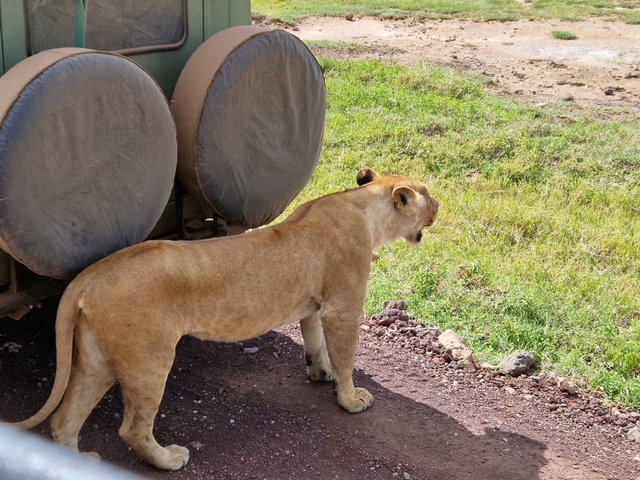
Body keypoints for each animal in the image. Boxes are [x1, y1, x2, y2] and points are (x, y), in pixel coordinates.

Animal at [7, 168, 438, 470]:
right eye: (428, 194)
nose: (440, 207)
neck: (361, 207)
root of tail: (88, 277)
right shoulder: (343, 307)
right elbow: (347, 357)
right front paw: (350, 399)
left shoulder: (316, 307)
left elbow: (316, 344)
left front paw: (320, 373)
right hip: (148, 358)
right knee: (132, 428)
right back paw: (169, 460)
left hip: (96, 359)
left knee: (63, 420)